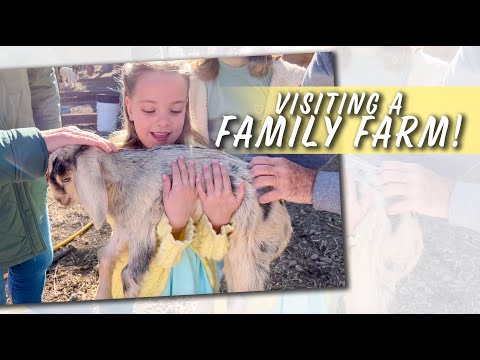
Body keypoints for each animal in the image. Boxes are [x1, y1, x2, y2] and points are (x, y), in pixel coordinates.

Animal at [47, 145, 292, 300]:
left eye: (65, 178)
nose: (57, 199)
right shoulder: (127, 227)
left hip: (249, 258)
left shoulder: (142, 228)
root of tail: (285, 224)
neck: (122, 177)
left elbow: (129, 275)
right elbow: (105, 255)